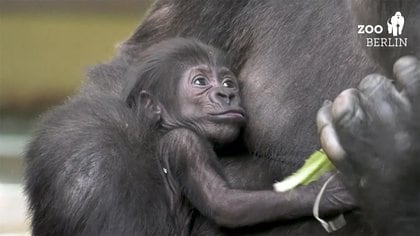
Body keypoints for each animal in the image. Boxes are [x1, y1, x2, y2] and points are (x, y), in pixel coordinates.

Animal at [122, 37, 354, 233]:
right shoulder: (185, 142)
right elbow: (225, 205)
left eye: (228, 83)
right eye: (200, 82)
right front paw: (326, 194)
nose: (226, 95)